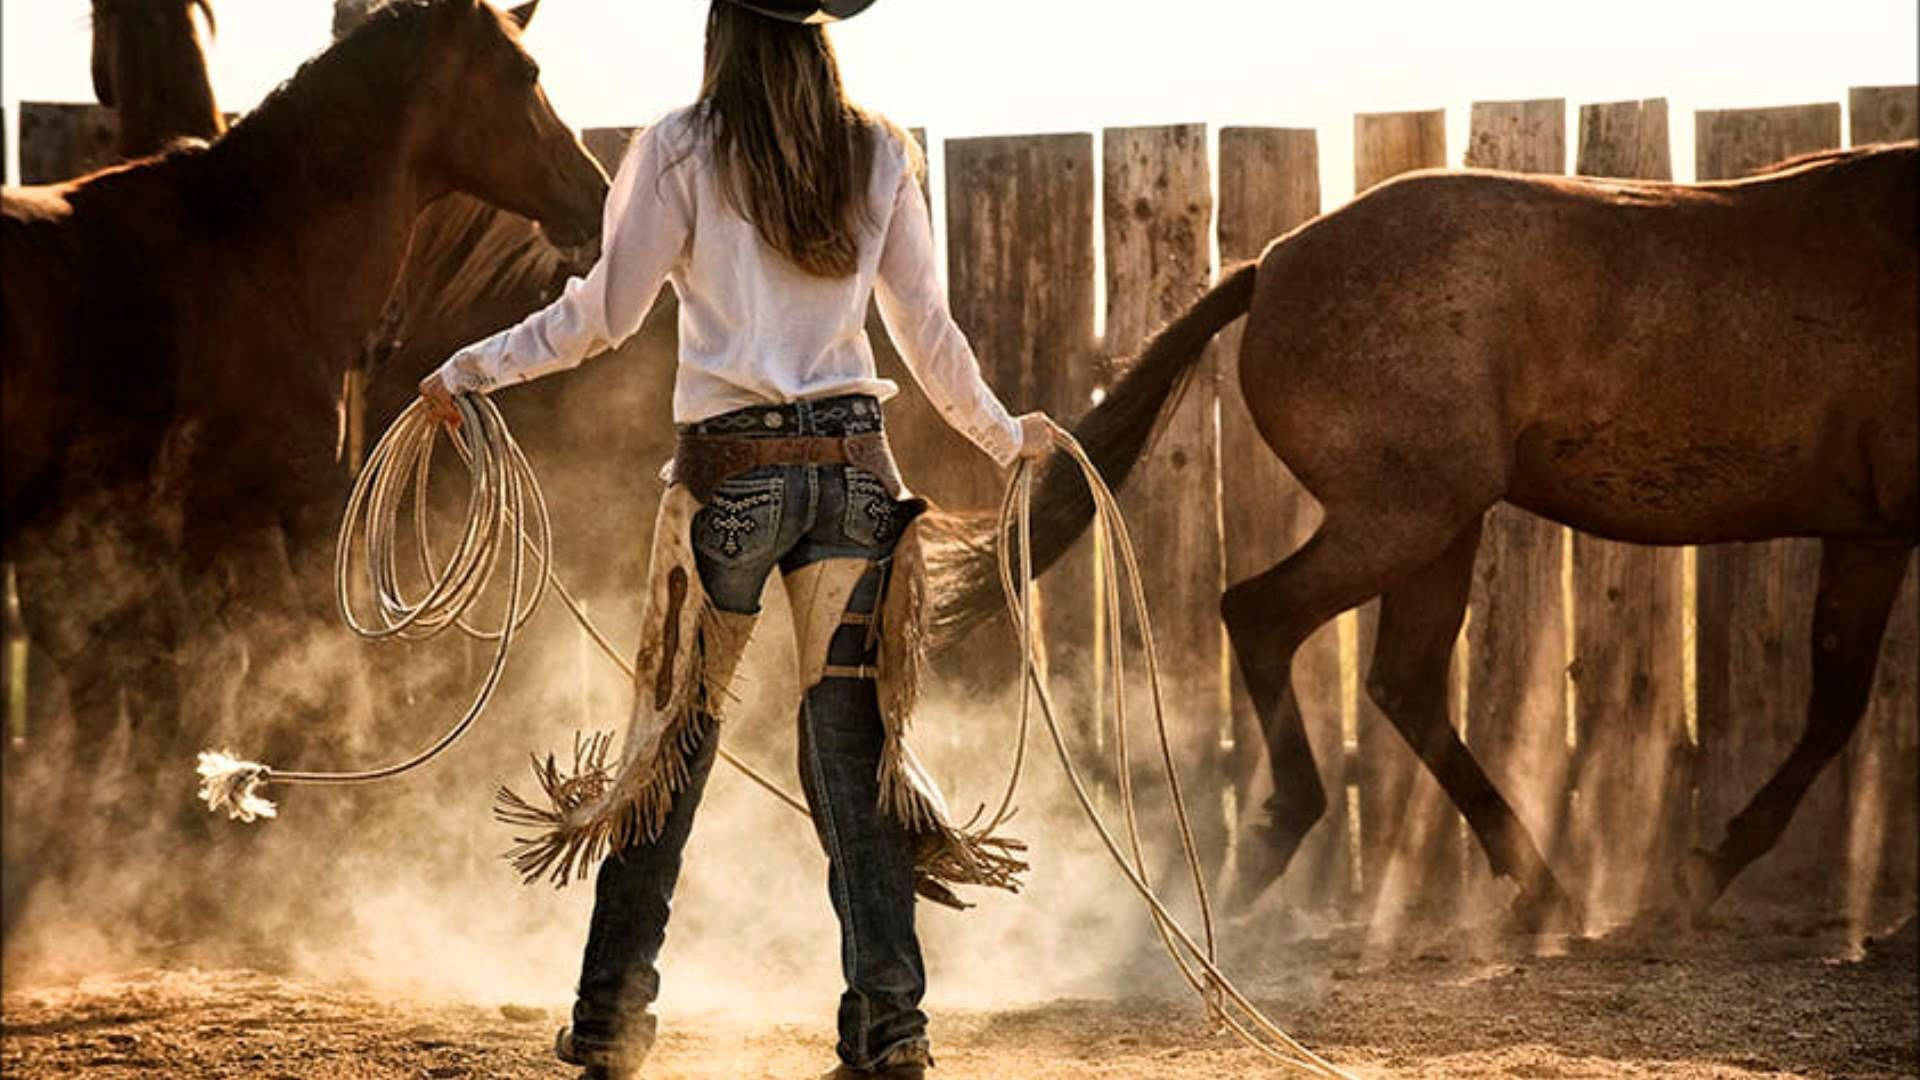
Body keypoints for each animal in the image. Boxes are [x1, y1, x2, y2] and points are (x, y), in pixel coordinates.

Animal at [936, 138, 1912, 922]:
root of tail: (1274, 264)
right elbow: (1836, 712)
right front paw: (1703, 873)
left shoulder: (1868, 536)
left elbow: (1835, 705)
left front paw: (1704, 869)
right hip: (1405, 518)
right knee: (1264, 615)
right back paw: (1287, 838)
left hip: (1441, 530)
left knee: (1402, 681)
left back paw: (1540, 889)